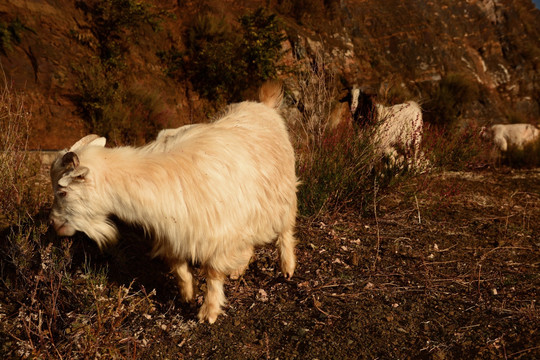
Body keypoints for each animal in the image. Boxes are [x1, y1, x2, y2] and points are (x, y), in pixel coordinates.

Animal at [50, 81, 300, 324]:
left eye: (62, 192)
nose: (54, 224)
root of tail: (264, 106)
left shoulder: (216, 234)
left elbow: (213, 274)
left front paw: (208, 312)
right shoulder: (173, 234)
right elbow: (179, 267)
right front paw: (188, 294)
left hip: (282, 195)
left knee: (285, 231)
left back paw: (287, 267)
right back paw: (239, 269)